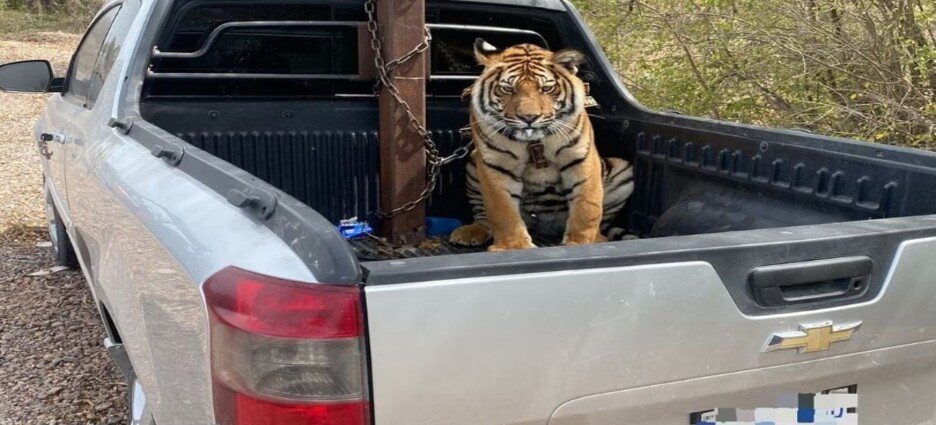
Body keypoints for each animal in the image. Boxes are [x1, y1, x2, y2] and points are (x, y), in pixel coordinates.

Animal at [449, 39, 635, 251]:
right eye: (508, 89)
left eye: (546, 89)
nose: (529, 118)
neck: (533, 142)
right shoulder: (496, 164)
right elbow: (502, 211)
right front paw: (514, 247)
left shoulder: (581, 157)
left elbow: (587, 206)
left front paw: (581, 243)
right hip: (473, 162)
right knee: (483, 217)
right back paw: (470, 232)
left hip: (623, 170)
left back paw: (600, 238)